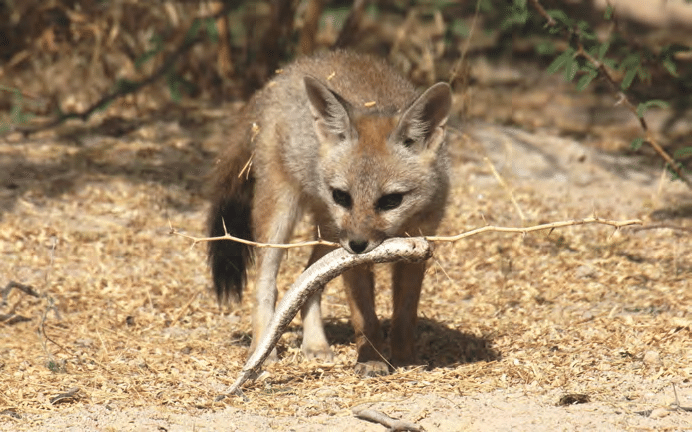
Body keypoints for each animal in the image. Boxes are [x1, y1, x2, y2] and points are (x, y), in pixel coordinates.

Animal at [208, 49, 452, 374]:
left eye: (391, 201)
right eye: (342, 196)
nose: (358, 245)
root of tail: (283, 73)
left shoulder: (418, 246)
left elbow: (405, 314)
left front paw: (405, 359)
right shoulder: (353, 258)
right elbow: (366, 317)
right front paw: (371, 359)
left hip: (328, 234)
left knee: (309, 281)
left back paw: (315, 344)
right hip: (284, 217)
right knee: (267, 285)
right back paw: (263, 351)